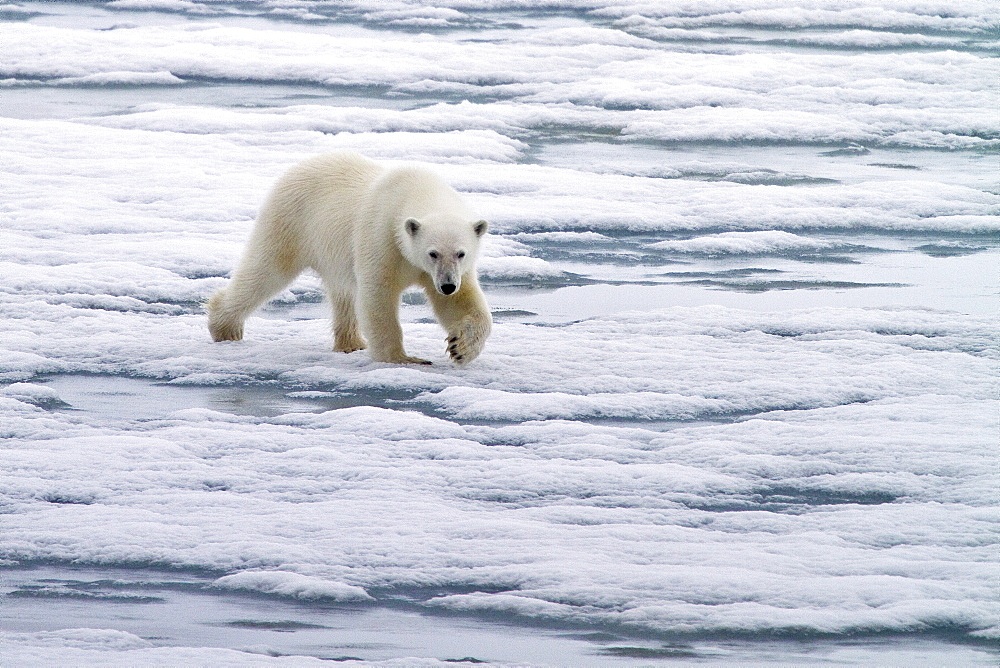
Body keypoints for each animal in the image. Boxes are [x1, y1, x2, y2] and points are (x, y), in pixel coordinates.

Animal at [207, 151, 492, 366]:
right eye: (432, 253)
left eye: (461, 253)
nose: (447, 285)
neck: (417, 192)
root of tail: (301, 165)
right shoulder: (383, 237)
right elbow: (378, 296)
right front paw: (403, 358)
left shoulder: (447, 270)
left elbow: (460, 304)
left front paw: (460, 347)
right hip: (291, 221)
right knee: (266, 271)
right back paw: (225, 328)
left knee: (342, 293)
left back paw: (351, 343)